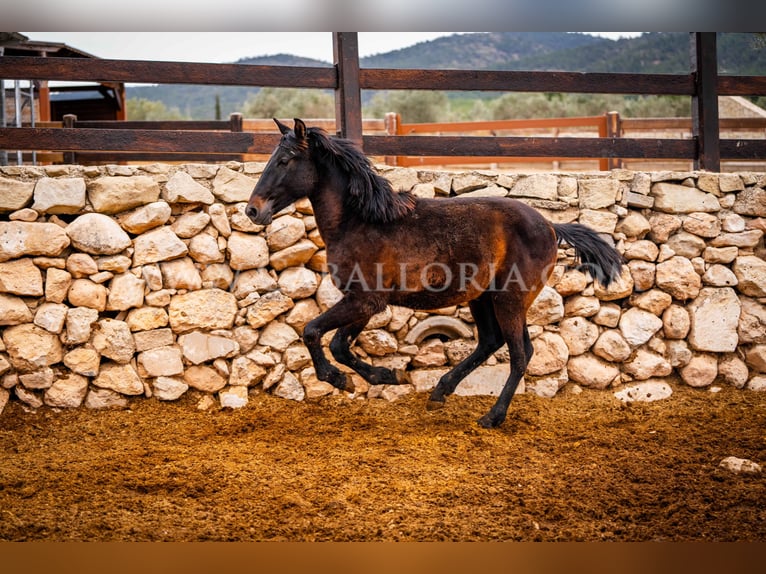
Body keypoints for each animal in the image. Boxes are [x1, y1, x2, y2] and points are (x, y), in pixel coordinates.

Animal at [246, 119, 624, 430]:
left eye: (284, 161)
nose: (252, 210)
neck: (361, 222)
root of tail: (550, 225)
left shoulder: (365, 300)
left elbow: (313, 332)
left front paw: (344, 379)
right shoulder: (362, 302)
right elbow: (339, 345)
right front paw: (385, 375)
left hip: (510, 299)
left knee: (519, 354)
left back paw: (492, 417)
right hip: (484, 299)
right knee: (492, 342)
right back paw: (440, 391)